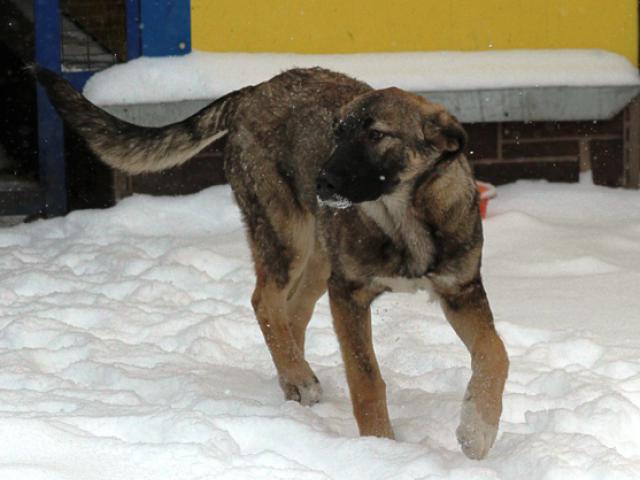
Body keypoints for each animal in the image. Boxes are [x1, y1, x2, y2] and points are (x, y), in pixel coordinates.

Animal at [36, 65, 510, 460]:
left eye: (376, 135)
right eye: (338, 133)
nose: (323, 182)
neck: (402, 217)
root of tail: (253, 91)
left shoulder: (462, 290)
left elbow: (496, 353)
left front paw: (477, 431)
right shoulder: (349, 293)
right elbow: (366, 378)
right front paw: (380, 447)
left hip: (317, 257)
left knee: (290, 311)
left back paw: (293, 379)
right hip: (286, 233)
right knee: (265, 301)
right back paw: (298, 377)